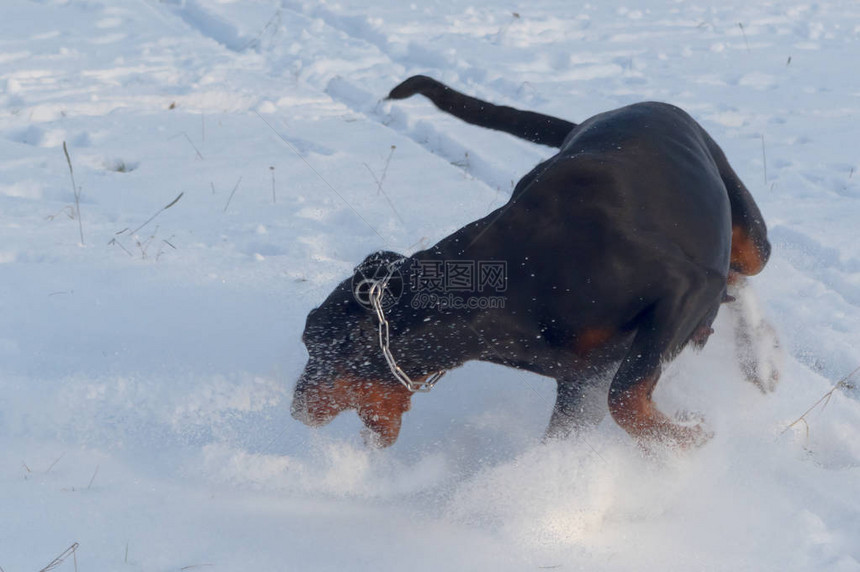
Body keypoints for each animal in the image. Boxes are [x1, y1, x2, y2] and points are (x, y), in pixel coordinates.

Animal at [292, 76, 768, 450]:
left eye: (319, 348)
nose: (296, 411)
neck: (520, 278)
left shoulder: (684, 287)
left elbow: (626, 397)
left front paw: (689, 437)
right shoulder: (581, 382)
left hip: (750, 236)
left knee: (741, 274)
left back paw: (761, 361)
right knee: (733, 285)